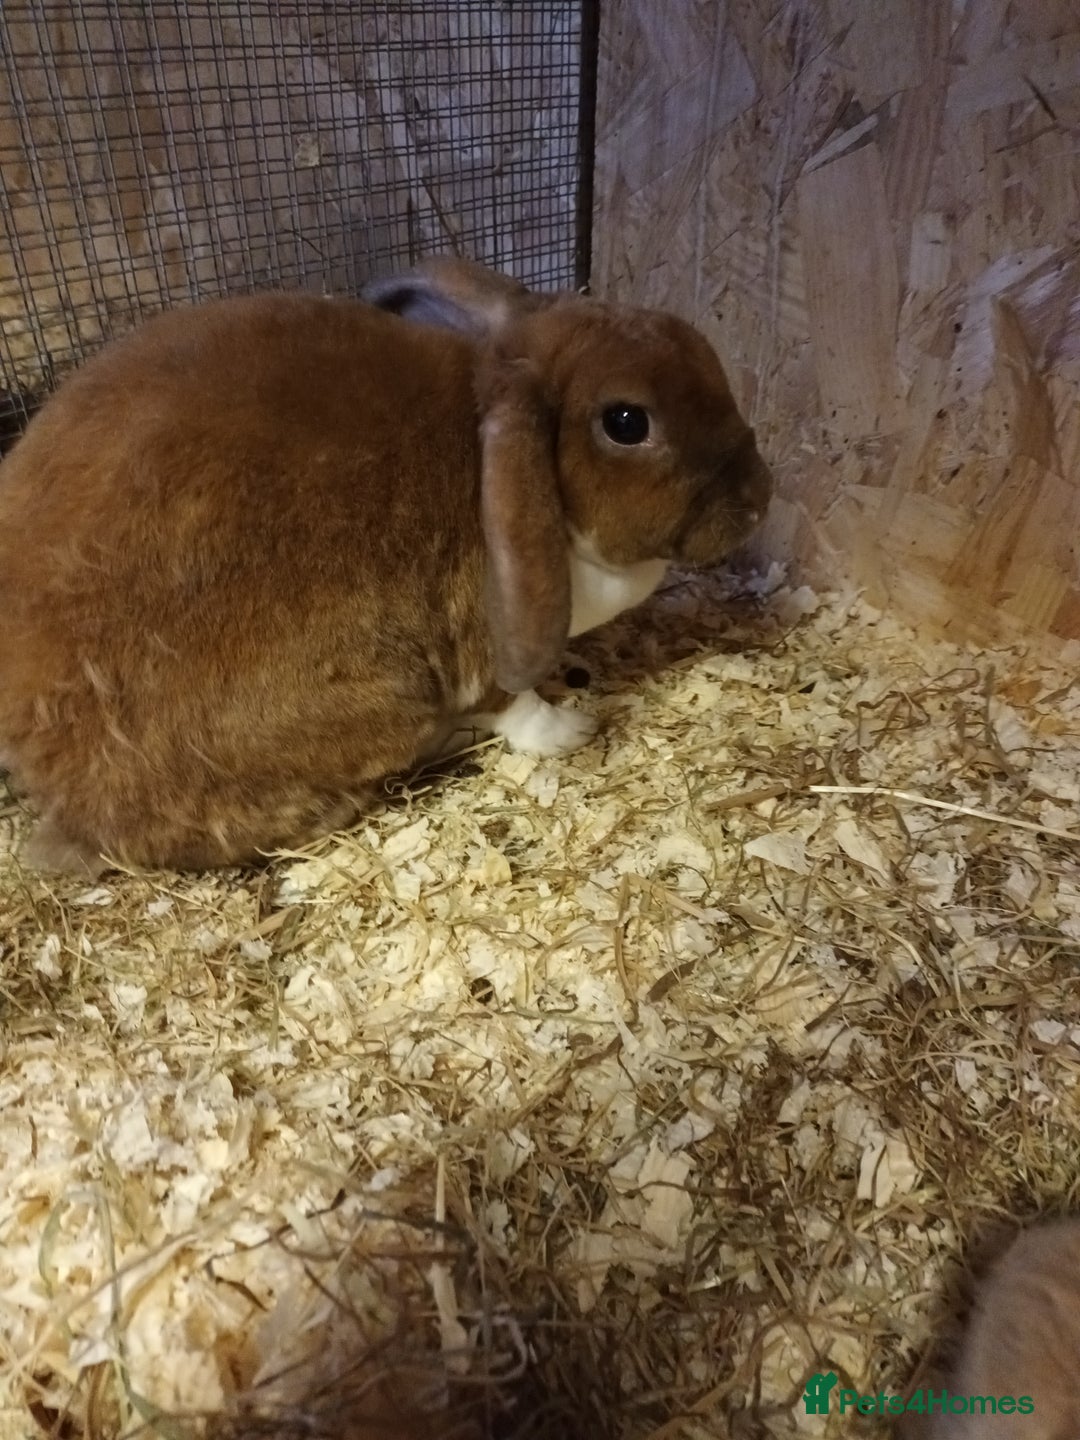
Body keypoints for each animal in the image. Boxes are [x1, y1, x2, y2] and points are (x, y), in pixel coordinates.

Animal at [0, 256, 772, 874]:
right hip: (380, 698)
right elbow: (519, 707)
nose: (759, 499)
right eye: (626, 421)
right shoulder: (483, 652)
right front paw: (574, 728)